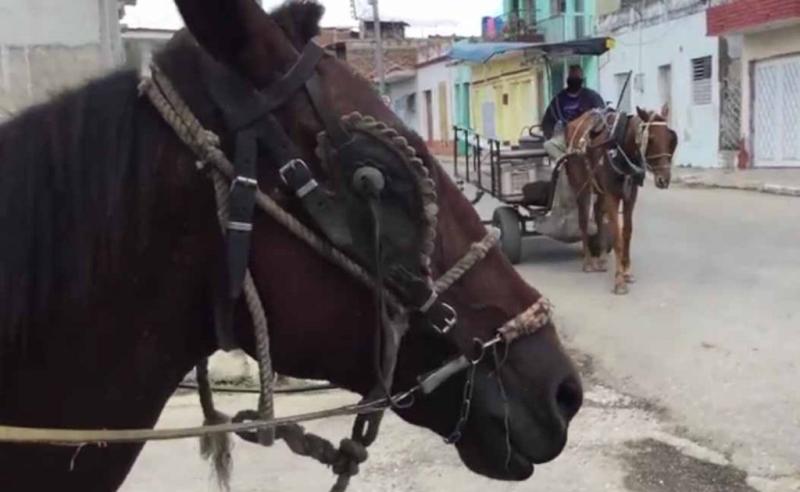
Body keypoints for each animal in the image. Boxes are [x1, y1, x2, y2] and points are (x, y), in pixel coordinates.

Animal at [564, 105, 676, 294]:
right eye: (651, 139)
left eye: (670, 138)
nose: (664, 179)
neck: (621, 149)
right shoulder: (611, 195)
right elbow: (616, 234)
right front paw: (619, 280)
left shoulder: (631, 195)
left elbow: (627, 232)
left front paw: (627, 271)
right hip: (581, 187)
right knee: (583, 220)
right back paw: (588, 261)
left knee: (599, 214)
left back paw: (602, 258)